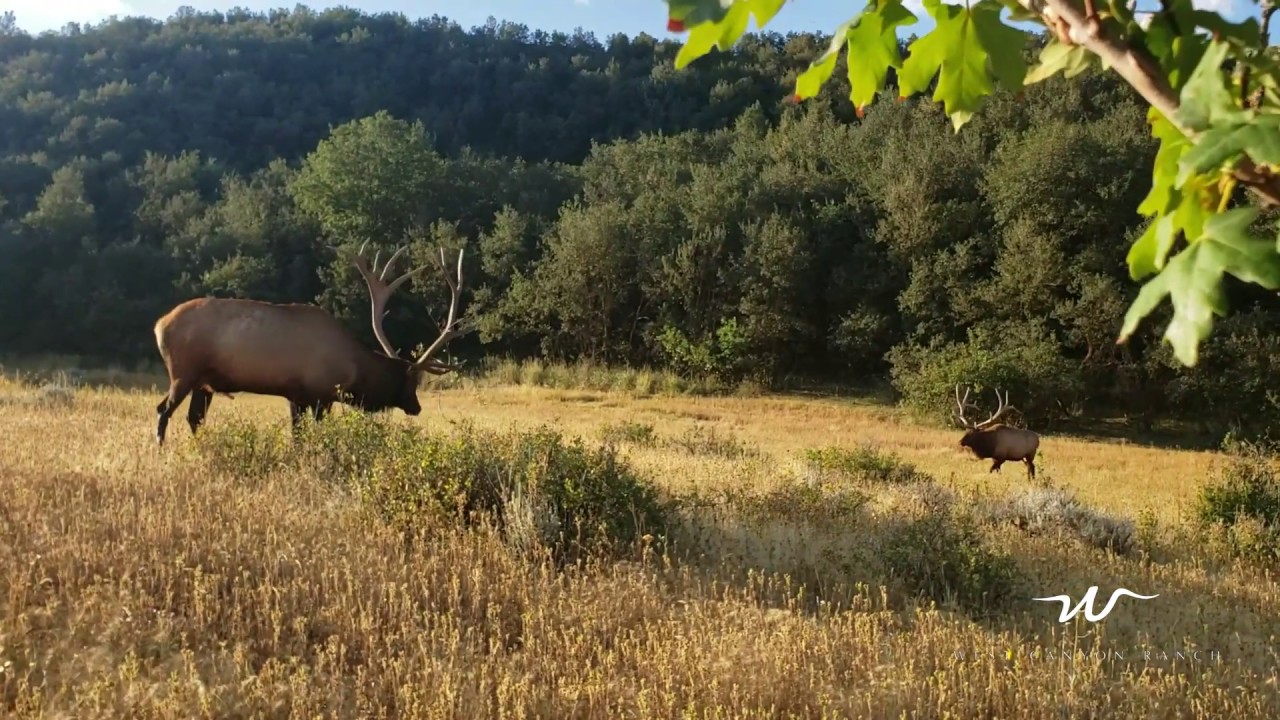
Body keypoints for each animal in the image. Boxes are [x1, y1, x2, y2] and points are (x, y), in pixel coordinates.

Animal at [152, 241, 469, 445]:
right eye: (411, 380)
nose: (417, 407)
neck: (354, 371)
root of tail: (159, 326)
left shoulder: (296, 395)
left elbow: (297, 435)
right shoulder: (321, 394)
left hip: (203, 383)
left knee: (194, 418)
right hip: (182, 372)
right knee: (163, 411)